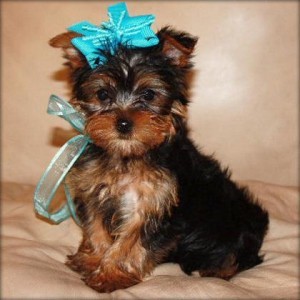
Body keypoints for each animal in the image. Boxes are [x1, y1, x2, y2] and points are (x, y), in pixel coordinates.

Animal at [49, 18, 270, 290]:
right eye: (102, 94)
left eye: (148, 94)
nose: (123, 123)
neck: (128, 155)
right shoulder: (94, 192)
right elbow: (95, 227)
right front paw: (93, 259)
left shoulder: (155, 204)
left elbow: (131, 241)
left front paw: (112, 274)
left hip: (232, 223)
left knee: (237, 256)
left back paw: (218, 270)